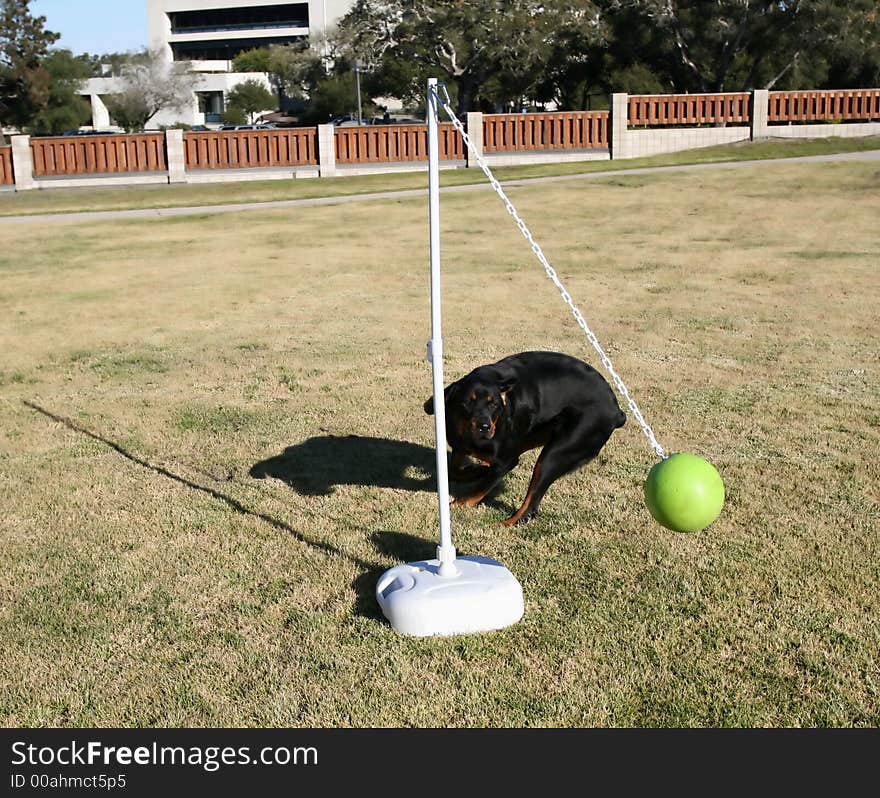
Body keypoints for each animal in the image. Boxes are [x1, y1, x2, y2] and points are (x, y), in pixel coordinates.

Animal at [424, 354, 624, 528]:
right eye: (468, 402)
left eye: (493, 404)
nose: (484, 426)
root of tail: (616, 411)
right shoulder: (460, 446)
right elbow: (454, 470)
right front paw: (477, 470)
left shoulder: (506, 460)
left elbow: (482, 485)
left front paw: (461, 503)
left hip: (556, 455)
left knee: (530, 505)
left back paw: (506, 524)